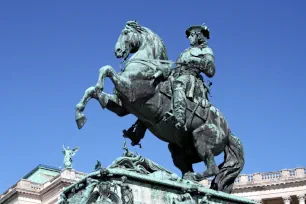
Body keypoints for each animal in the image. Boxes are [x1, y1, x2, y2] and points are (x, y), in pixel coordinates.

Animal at [75, 21, 245, 194]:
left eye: (125, 33)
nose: (117, 51)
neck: (147, 65)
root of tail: (228, 131)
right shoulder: (121, 106)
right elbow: (92, 90)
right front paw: (80, 115)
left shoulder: (131, 91)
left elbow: (106, 70)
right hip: (178, 148)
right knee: (188, 168)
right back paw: (183, 180)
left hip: (201, 138)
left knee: (213, 168)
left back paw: (193, 178)